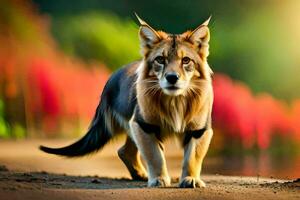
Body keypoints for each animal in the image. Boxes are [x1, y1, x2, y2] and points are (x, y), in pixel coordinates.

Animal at [40, 15, 213, 188]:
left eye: (186, 60)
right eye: (160, 59)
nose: (172, 77)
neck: (175, 101)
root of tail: (110, 79)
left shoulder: (199, 130)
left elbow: (193, 157)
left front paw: (191, 179)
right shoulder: (143, 125)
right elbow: (154, 155)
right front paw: (158, 179)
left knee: (124, 150)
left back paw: (140, 174)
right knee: (125, 150)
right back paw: (142, 175)